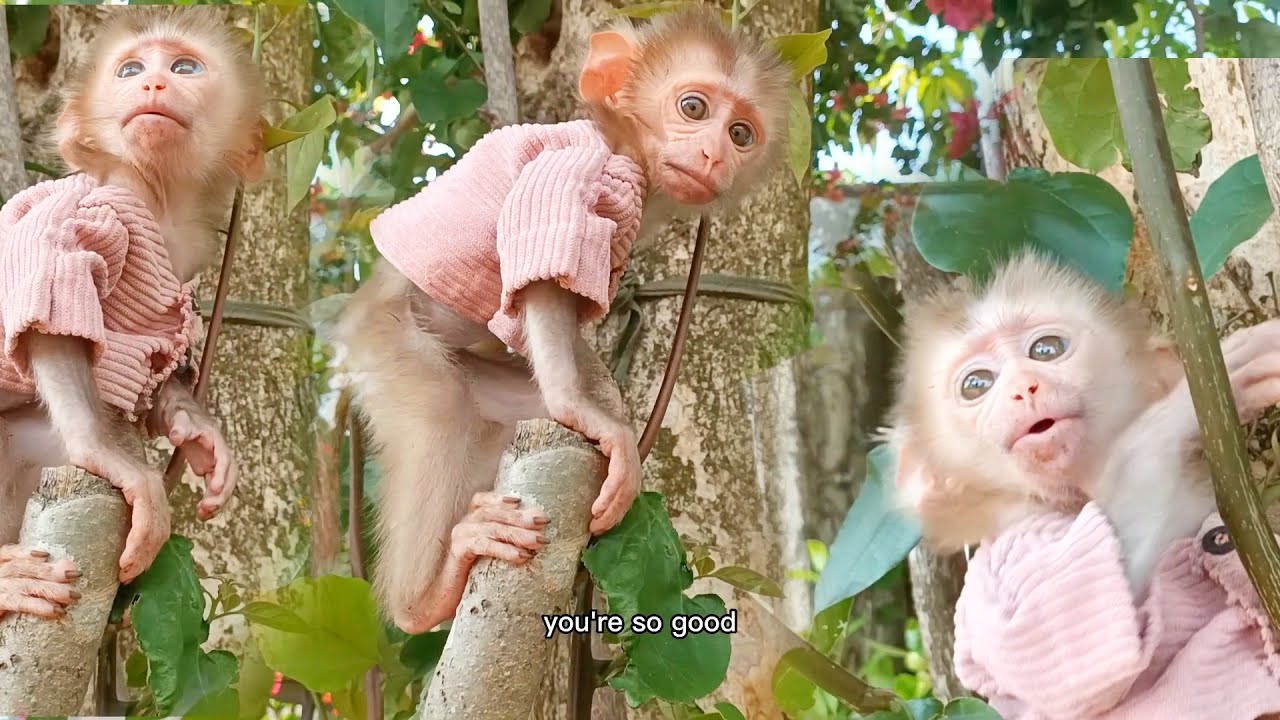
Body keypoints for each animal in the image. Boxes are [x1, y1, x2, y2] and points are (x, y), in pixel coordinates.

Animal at [0, 7, 262, 620]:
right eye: (130, 70)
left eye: (185, 67)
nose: (154, 83)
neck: (158, 200)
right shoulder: (97, 204)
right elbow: (51, 278)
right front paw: (104, 453)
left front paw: (197, 431)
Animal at [331, 6, 790, 633]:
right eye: (693, 107)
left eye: (741, 133)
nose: (714, 154)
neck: (628, 150)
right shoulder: (582, 163)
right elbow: (543, 256)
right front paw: (586, 412)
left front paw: (603, 395)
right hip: (388, 341)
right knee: (439, 406)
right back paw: (422, 599)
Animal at [885, 249, 1280, 719]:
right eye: (976, 384)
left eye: (1046, 349)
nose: (1024, 388)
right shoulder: (993, 570)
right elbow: (1068, 642)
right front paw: (1191, 400)